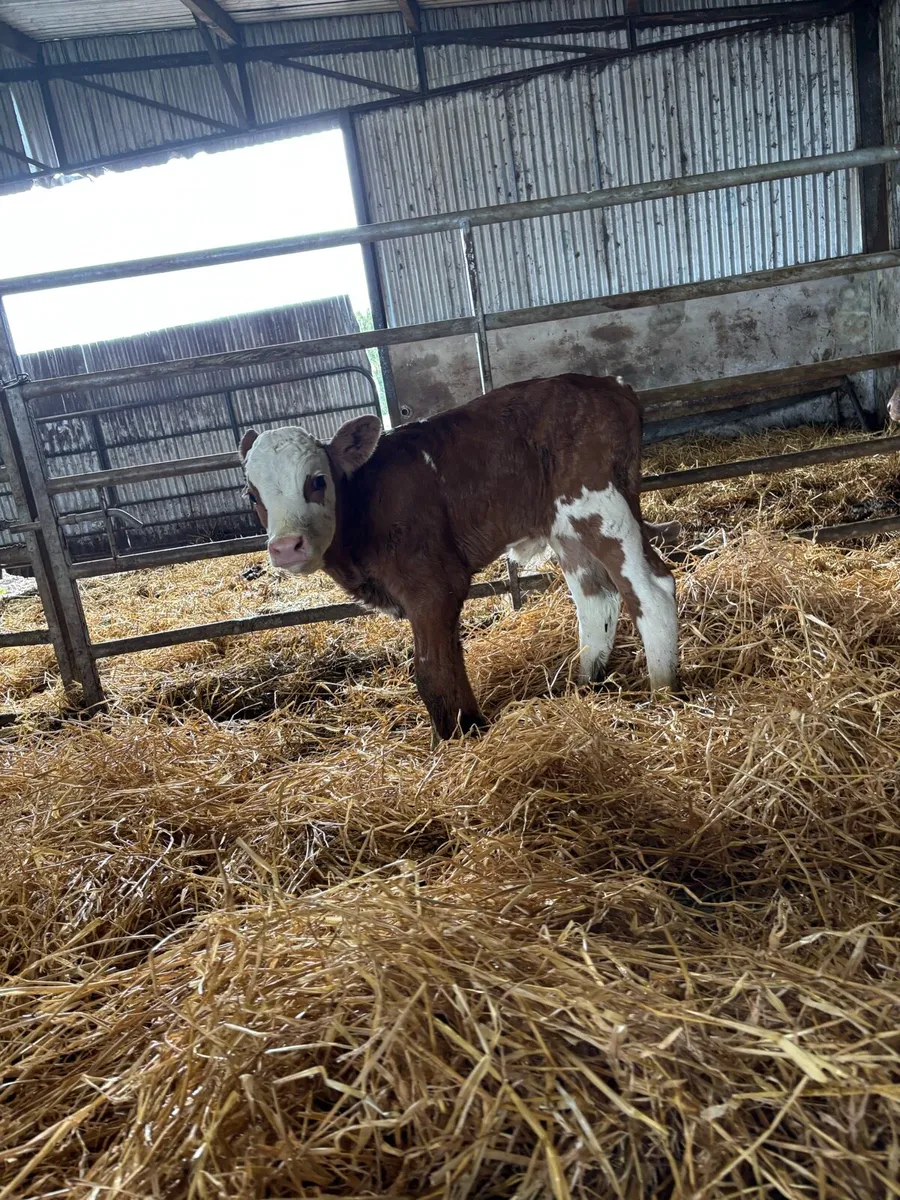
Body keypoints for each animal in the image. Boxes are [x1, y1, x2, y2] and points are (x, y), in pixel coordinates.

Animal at [239, 373, 679, 741]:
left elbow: (430, 669)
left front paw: (452, 739)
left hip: (600, 505)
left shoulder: (433, 583)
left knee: (650, 589)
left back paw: (665, 693)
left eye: (317, 481)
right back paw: (585, 685)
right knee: (594, 598)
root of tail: (609, 385)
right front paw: (470, 724)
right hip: (566, 529)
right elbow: (450, 658)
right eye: (251, 495)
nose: (286, 547)